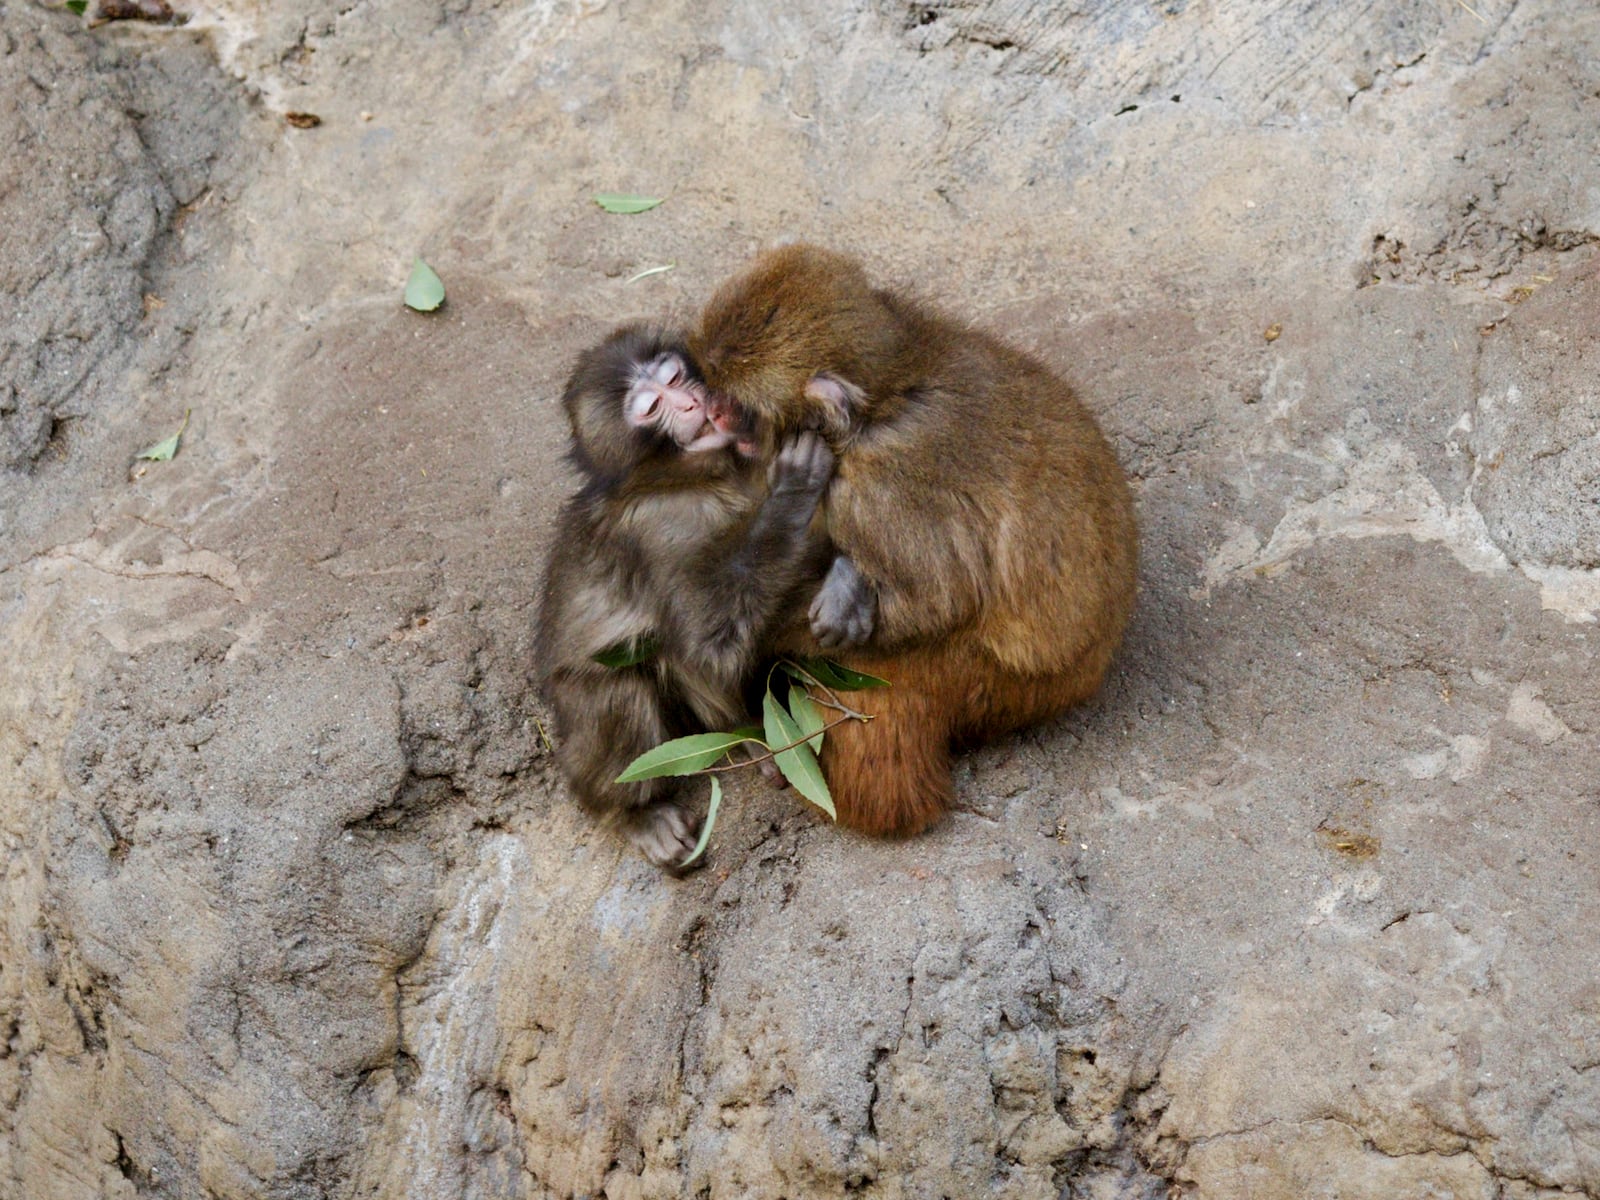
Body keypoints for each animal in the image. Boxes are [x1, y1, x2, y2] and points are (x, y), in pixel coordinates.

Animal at [536, 325, 835, 868]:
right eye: (653, 407)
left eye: (674, 376)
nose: (692, 403)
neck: (700, 474)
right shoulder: (662, 529)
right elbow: (706, 644)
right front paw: (791, 496)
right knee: (621, 687)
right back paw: (639, 809)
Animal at [688, 244, 1139, 838]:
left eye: (736, 409)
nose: (708, 416)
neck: (879, 401)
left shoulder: (873, 491)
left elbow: (937, 600)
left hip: (979, 682)